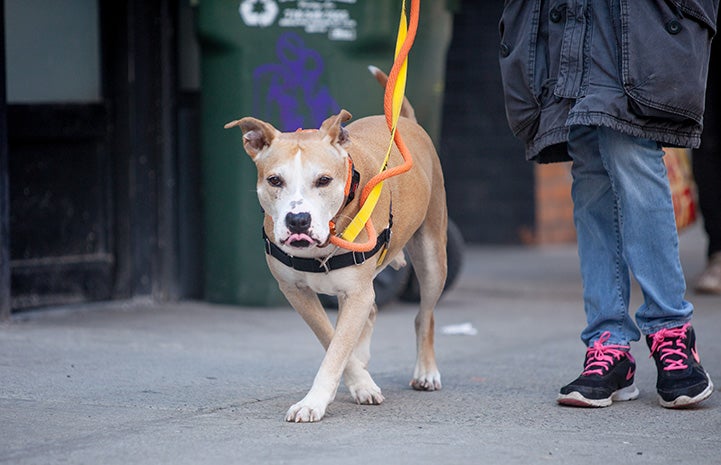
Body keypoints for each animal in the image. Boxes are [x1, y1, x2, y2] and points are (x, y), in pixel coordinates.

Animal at [225, 68, 448, 420]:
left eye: (324, 180)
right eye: (274, 180)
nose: (298, 221)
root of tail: (406, 121)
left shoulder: (355, 292)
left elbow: (336, 348)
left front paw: (313, 401)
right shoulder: (297, 292)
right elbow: (331, 338)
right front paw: (359, 381)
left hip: (432, 258)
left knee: (424, 316)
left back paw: (426, 371)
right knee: (372, 312)